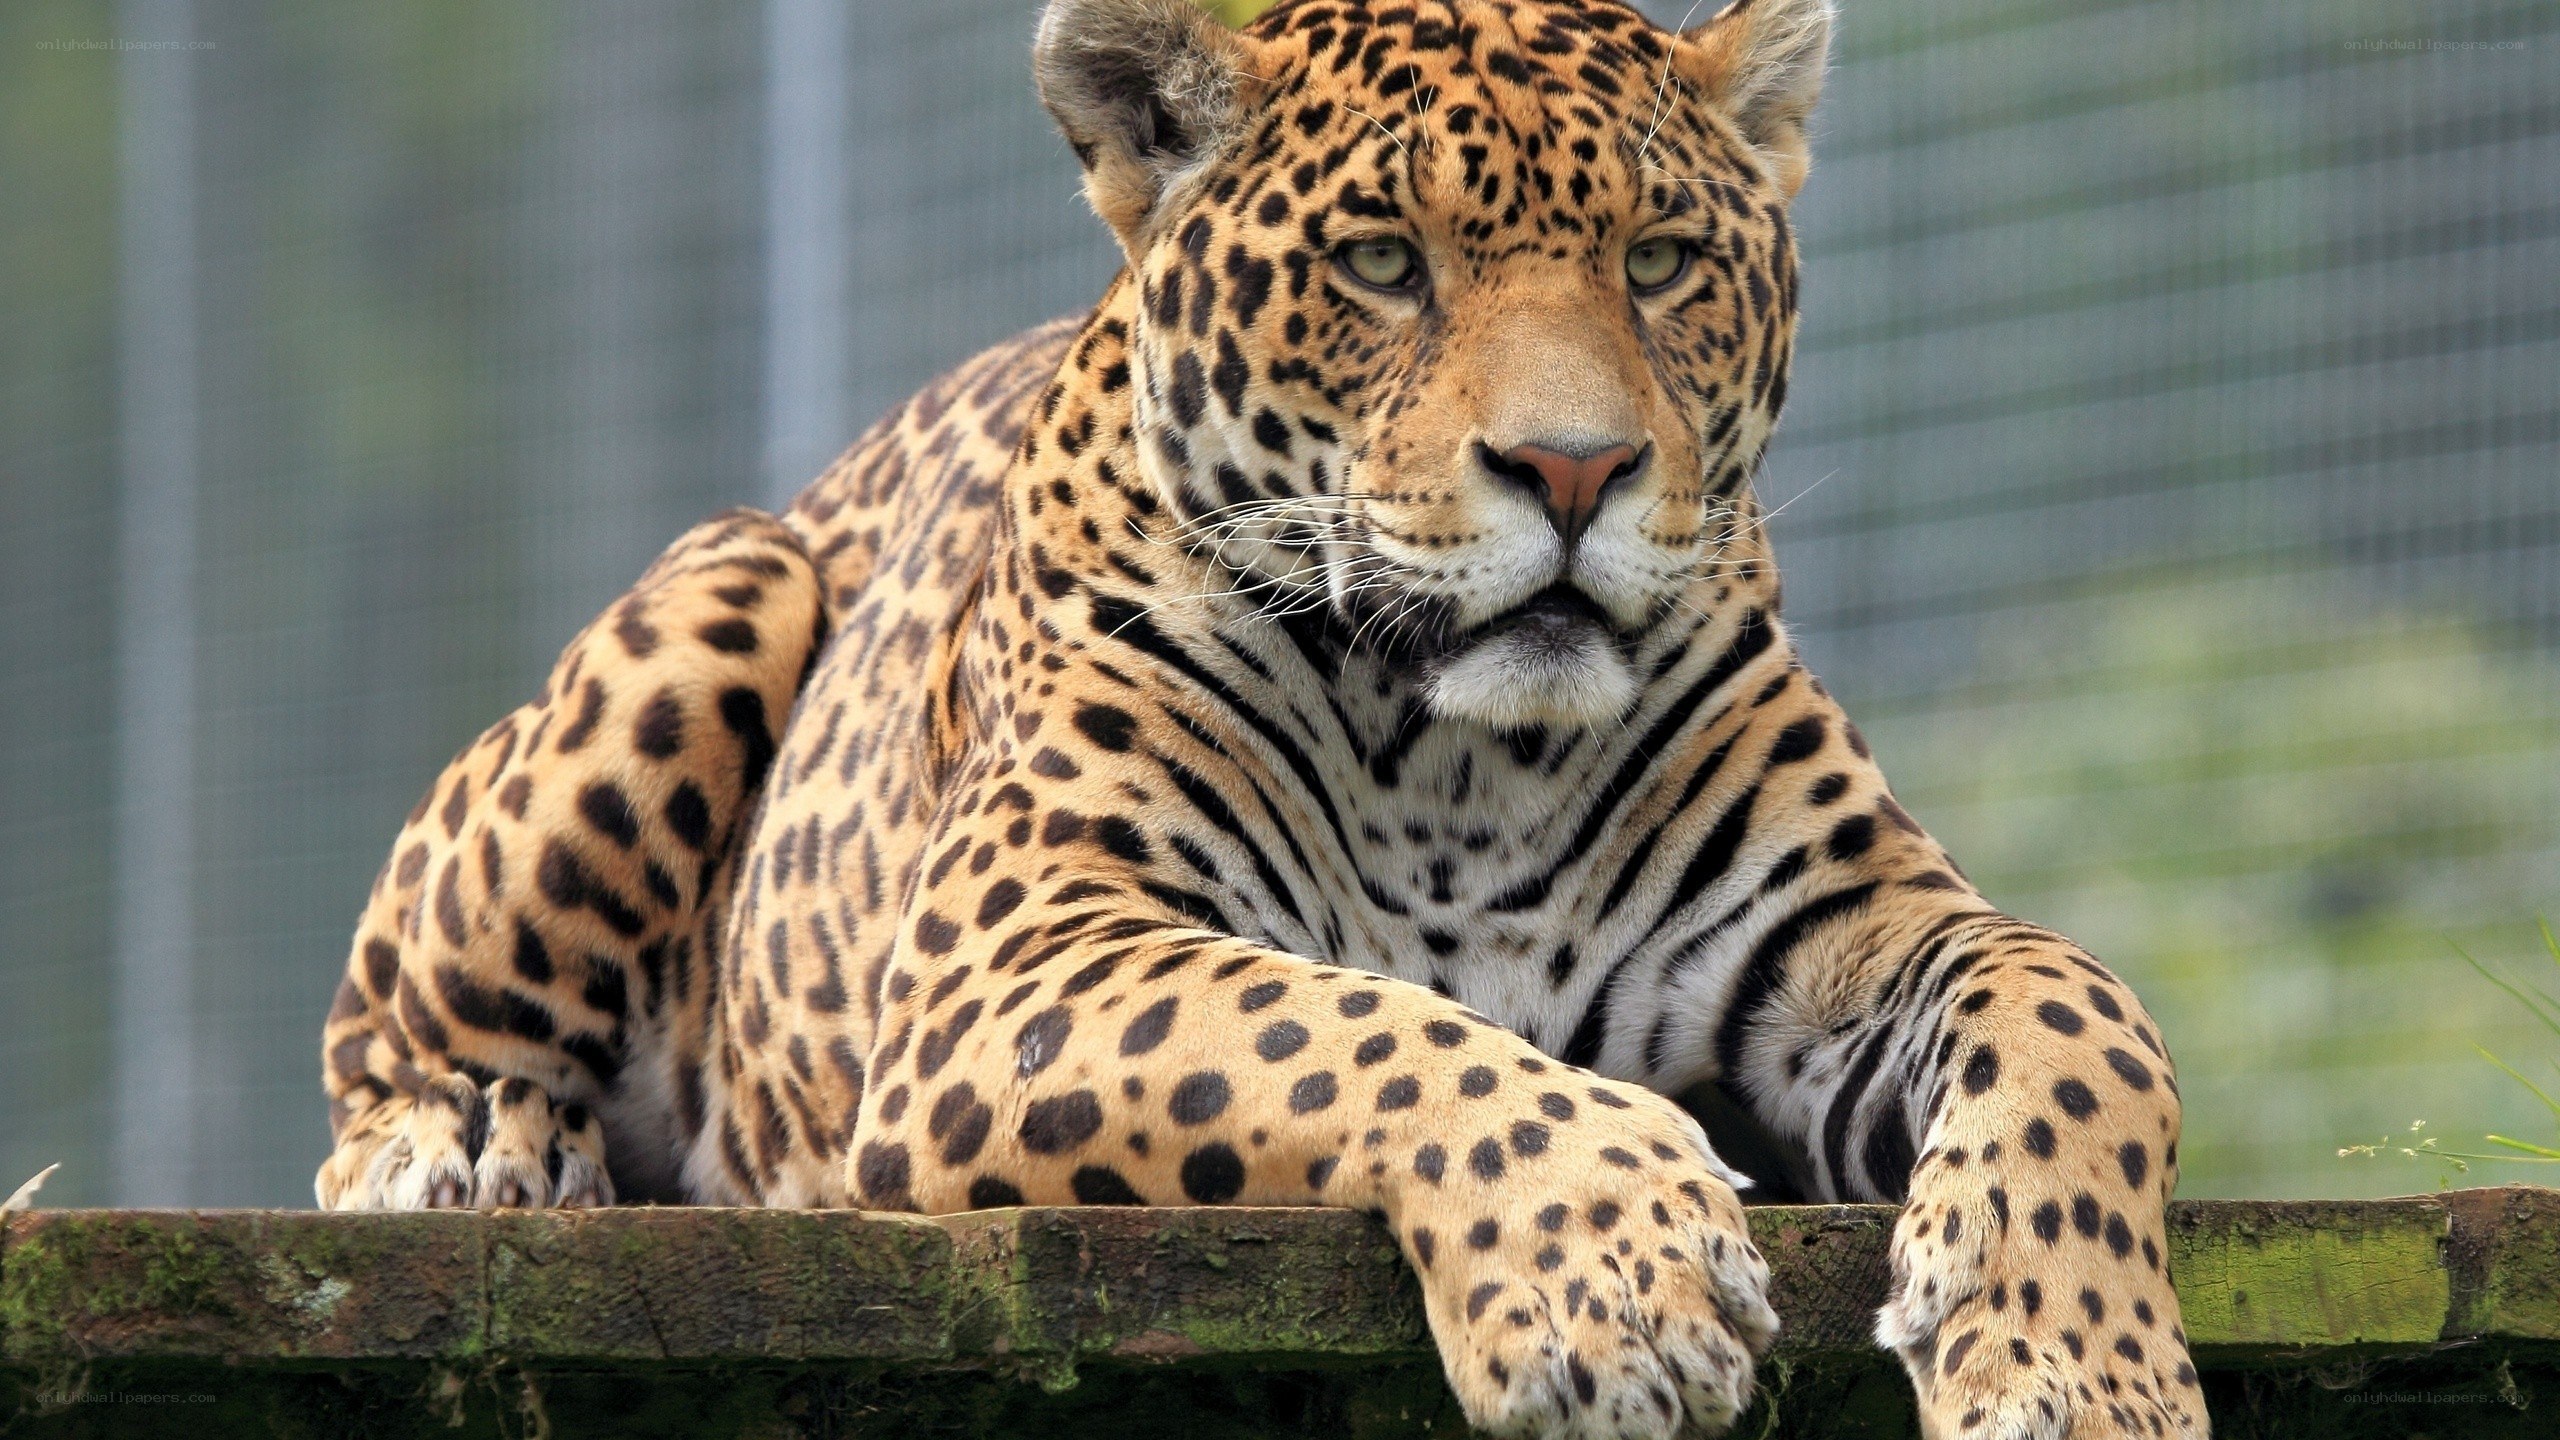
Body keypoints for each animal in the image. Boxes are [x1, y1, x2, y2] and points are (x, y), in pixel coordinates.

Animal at [314, 1, 2204, 1435]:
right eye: (1382, 263)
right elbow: (1353, 1022)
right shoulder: (1018, 956)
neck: (1467, 758)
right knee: (380, 1046)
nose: (1575, 470)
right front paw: (1611, 1278)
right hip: (731, 586)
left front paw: (2077, 1368)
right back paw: (467, 1142)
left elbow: (2083, 1016)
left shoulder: (1848, 932)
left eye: (1663, 262)